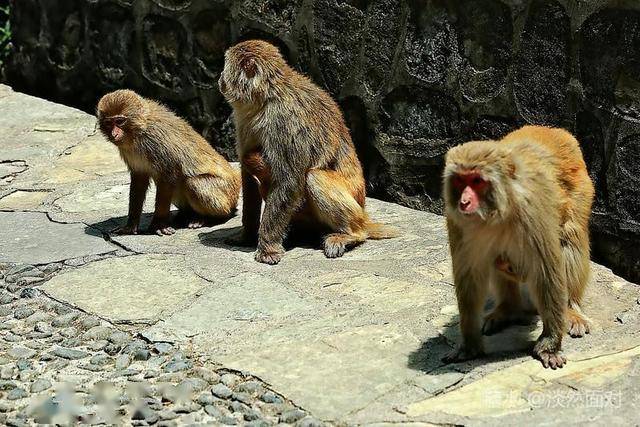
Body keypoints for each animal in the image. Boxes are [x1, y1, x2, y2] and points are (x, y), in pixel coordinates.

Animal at [96, 91, 241, 237]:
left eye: (120, 121)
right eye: (108, 123)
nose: (114, 133)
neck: (139, 131)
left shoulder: (157, 142)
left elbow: (168, 176)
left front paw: (159, 225)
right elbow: (139, 180)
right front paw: (130, 226)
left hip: (226, 194)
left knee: (193, 183)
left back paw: (206, 218)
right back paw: (185, 215)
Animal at [218, 41, 398, 266]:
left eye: (225, 66)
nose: (219, 78)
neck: (266, 96)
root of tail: (364, 215)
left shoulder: (283, 123)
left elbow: (289, 181)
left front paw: (267, 248)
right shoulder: (244, 121)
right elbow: (248, 177)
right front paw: (247, 235)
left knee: (314, 177)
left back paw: (350, 234)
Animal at [440, 125, 596, 370]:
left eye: (476, 181)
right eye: (460, 181)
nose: (464, 202)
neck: (498, 210)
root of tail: (554, 130)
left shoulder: (533, 211)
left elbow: (547, 271)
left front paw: (549, 346)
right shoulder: (456, 221)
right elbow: (469, 277)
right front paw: (469, 345)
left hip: (581, 190)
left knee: (570, 240)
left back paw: (570, 307)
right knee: (498, 259)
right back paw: (508, 309)